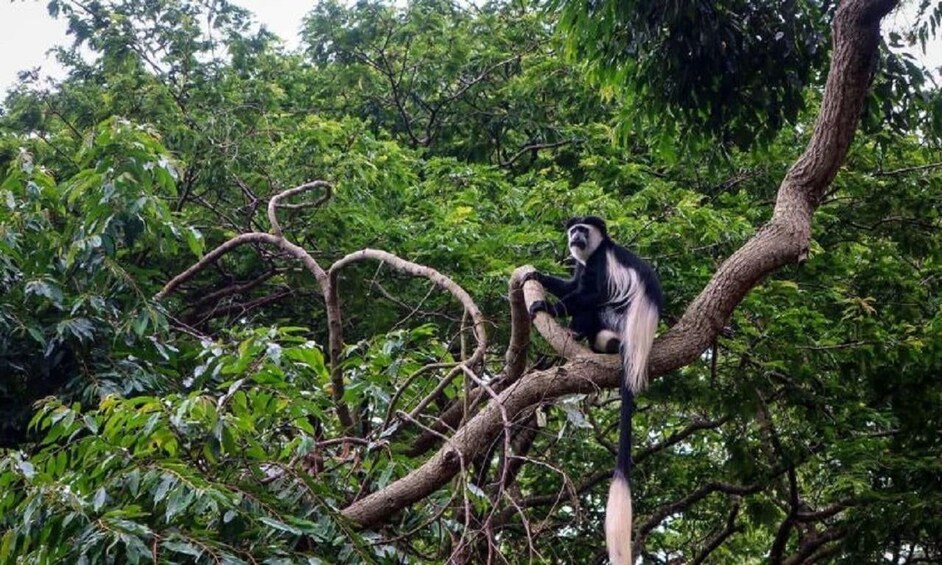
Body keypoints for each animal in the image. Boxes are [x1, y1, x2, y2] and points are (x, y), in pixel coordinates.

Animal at [525, 216, 662, 565]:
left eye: (583, 231)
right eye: (573, 230)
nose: (575, 236)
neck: (596, 249)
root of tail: (637, 346)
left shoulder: (599, 262)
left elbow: (589, 293)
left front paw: (546, 305)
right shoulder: (581, 263)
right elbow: (573, 285)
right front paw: (538, 277)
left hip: (616, 319)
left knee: (596, 305)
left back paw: (580, 334)